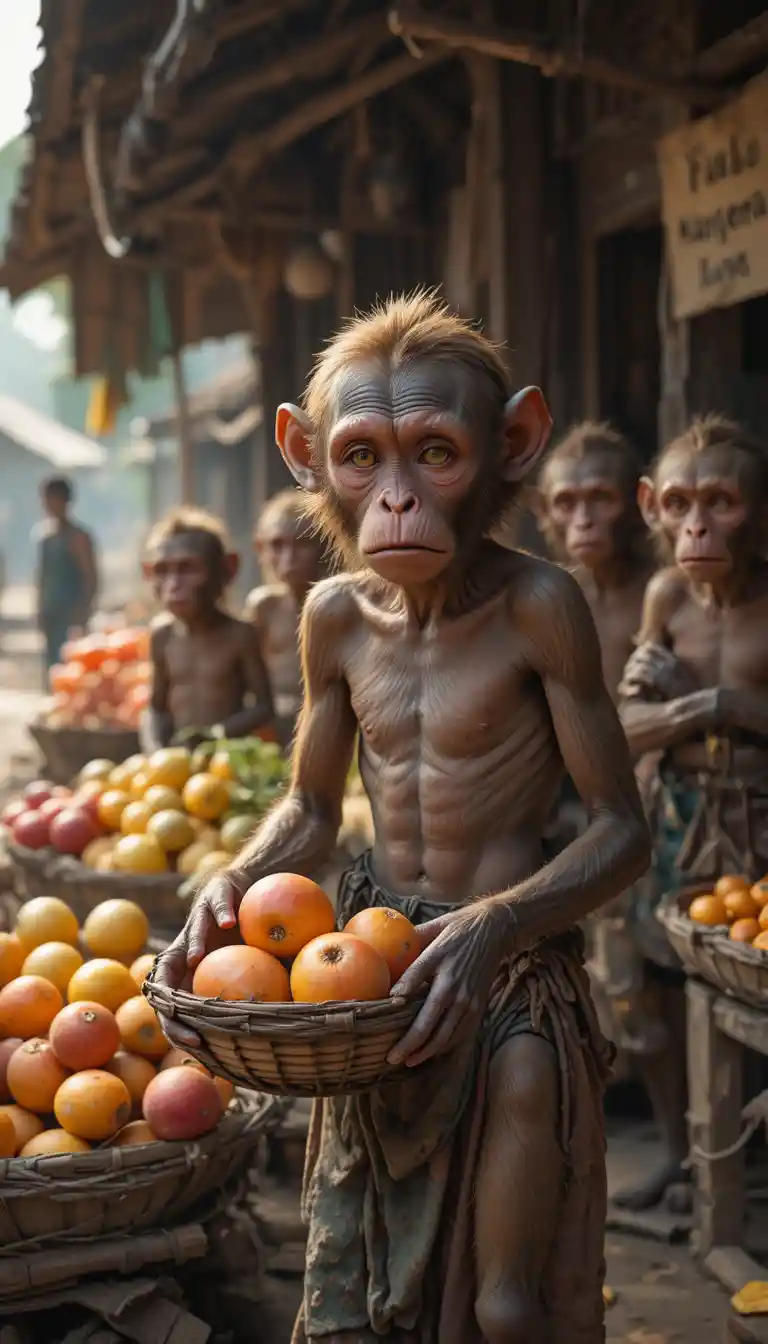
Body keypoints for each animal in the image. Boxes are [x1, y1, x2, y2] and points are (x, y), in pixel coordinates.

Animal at [141, 507, 273, 753]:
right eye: (162, 570)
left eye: (187, 567)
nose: (173, 587)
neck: (197, 627)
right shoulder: (157, 636)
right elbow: (158, 703)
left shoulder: (247, 637)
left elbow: (262, 704)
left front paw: (195, 739)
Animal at [155, 292, 648, 1344]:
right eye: (360, 456)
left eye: (434, 453)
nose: (395, 505)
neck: (427, 601)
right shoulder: (323, 618)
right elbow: (308, 800)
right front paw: (206, 918)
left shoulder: (559, 613)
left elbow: (615, 821)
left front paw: (466, 940)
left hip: (530, 1036)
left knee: (506, 1290)